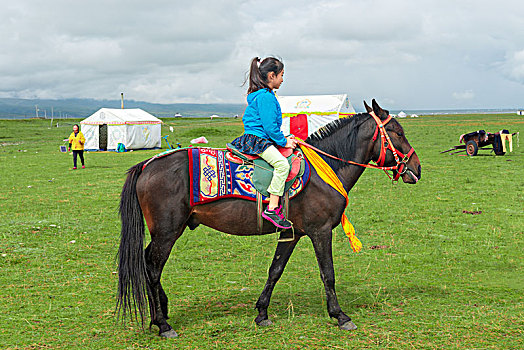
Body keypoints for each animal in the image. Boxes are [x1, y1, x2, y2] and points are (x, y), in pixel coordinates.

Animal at [115, 98, 422, 336]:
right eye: (397, 131)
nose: (416, 168)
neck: (327, 166)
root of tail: (147, 164)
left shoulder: (292, 233)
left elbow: (275, 270)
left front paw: (262, 313)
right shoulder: (321, 231)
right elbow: (328, 274)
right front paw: (340, 315)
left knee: (147, 264)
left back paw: (163, 312)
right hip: (167, 233)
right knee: (152, 268)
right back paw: (162, 324)